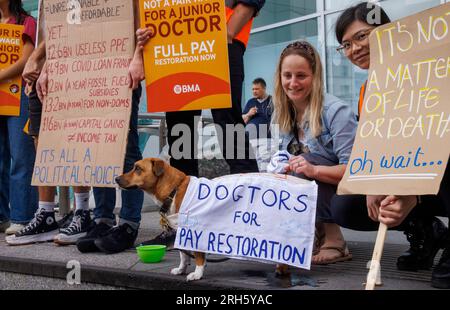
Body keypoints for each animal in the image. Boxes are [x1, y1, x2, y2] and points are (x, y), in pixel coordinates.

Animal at [116, 157, 290, 280]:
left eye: (138, 168)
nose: (117, 179)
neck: (174, 189)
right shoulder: (182, 231)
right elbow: (183, 254)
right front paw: (182, 269)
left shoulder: (196, 229)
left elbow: (198, 255)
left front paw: (197, 273)